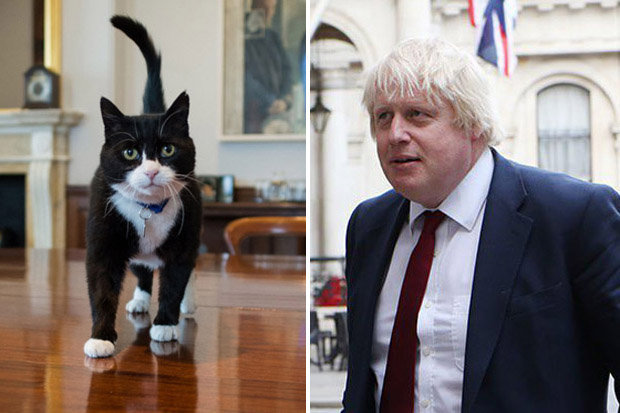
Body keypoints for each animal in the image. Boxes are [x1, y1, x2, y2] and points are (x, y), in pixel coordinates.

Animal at [83, 15, 201, 358]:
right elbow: (102, 288)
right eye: (130, 153)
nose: (150, 171)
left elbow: (175, 281)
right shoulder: (103, 242)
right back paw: (139, 299)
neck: (149, 210)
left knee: (188, 269)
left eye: (168, 150)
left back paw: (187, 304)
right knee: (143, 270)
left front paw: (166, 324)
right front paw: (101, 337)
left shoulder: (185, 237)